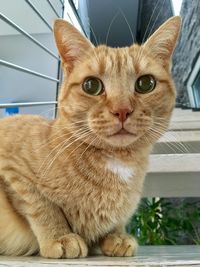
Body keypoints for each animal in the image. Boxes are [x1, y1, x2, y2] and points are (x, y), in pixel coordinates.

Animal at [0, 15, 181, 258]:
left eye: (146, 83)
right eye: (91, 85)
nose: (122, 110)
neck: (117, 162)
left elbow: (115, 223)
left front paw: (117, 236)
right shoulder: (13, 171)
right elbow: (42, 206)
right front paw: (60, 236)